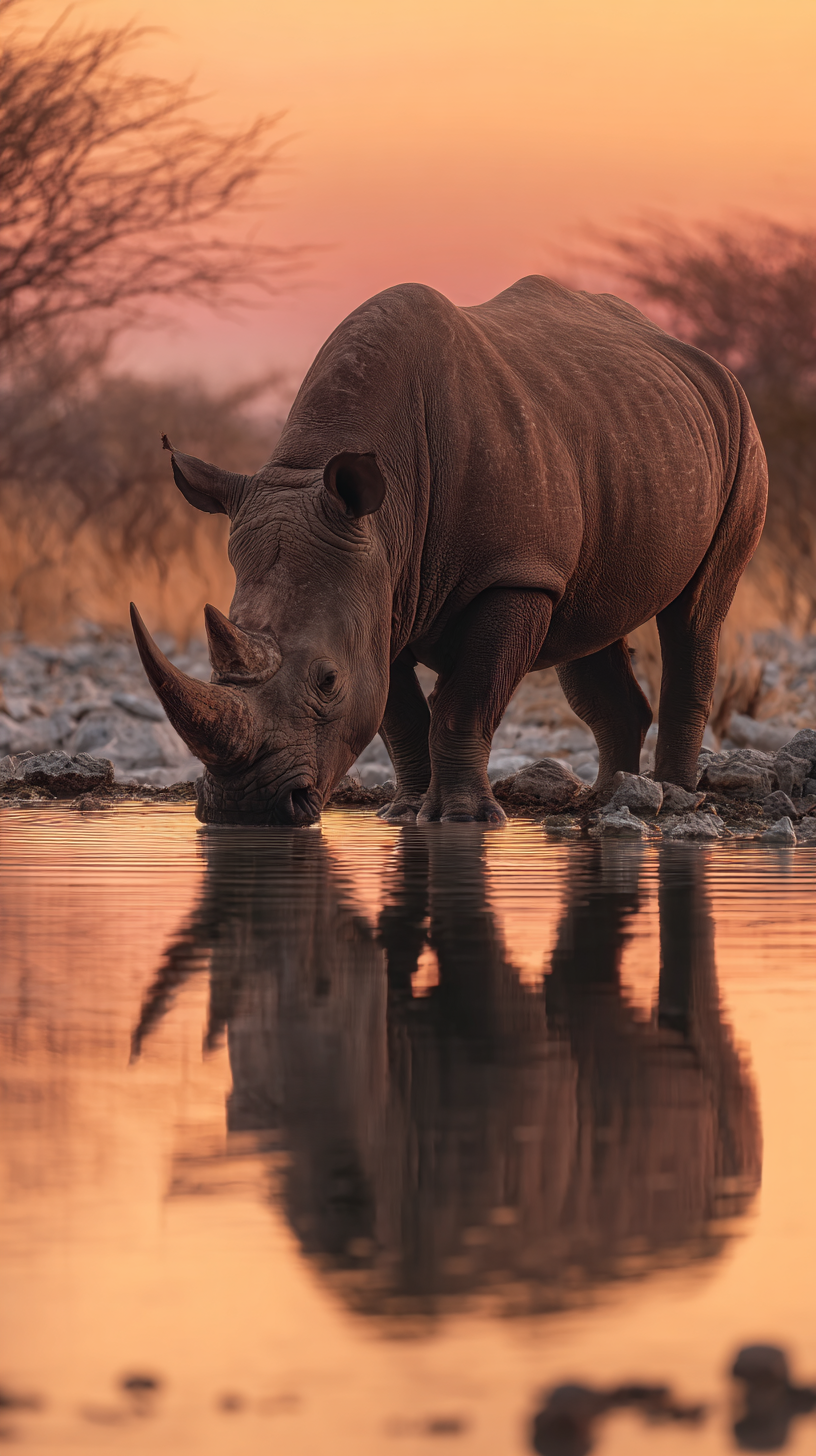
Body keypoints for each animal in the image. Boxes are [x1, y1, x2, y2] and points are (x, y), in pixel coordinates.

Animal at [131, 275, 767, 825]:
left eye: (327, 681)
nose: (246, 808)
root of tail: (707, 365)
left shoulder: (511, 574)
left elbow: (465, 699)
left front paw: (463, 818)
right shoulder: (380, 588)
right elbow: (399, 713)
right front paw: (406, 812)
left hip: (739, 431)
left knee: (694, 617)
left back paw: (673, 799)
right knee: (591, 626)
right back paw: (610, 798)